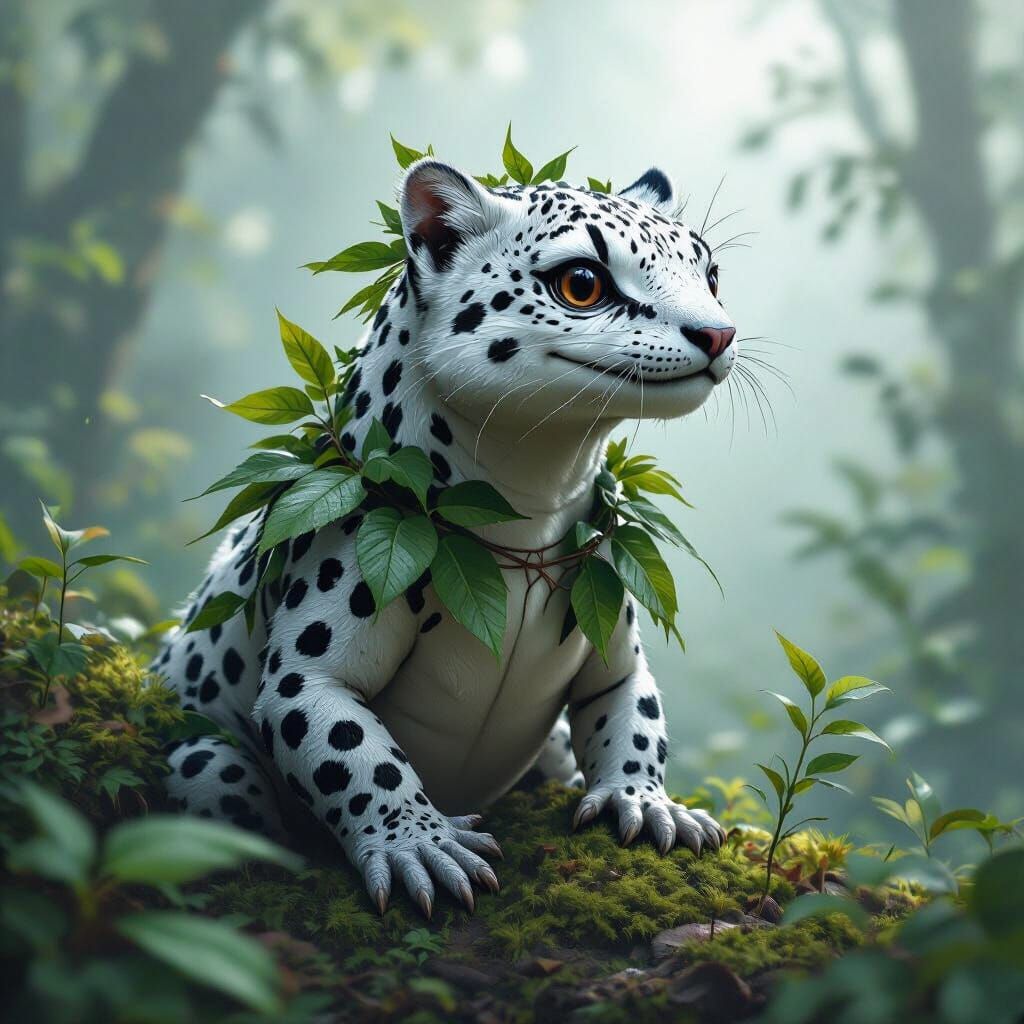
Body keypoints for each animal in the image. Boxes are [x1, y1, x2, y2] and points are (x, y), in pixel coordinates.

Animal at [153, 158, 739, 918]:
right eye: (583, 281)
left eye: (710, 272)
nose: (720, 334)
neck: (532, 502)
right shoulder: (308, 674)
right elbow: (355, 755)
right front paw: (421, 848)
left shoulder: (613, 637)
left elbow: (633, 719)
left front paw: (646, 804)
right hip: (206, 759)